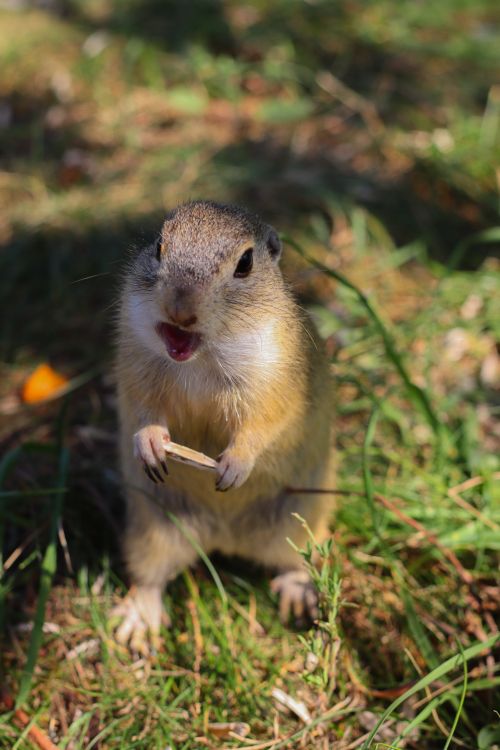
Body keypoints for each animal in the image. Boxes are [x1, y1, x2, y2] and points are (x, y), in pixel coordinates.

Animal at [114, 200, 335, 653]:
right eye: (159, 245)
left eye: (245, 263)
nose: (180, 310)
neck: (198, 356)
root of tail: (223, 538)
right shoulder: (136, 369)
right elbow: (144, 413)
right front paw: (150, 445)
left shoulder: (272, 387)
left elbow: (260, 427)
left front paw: (233, 467)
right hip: (151, 533)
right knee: (149, 577)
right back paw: (137, 623)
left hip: (299, 522)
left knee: (295, 562)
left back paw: (299, 599)